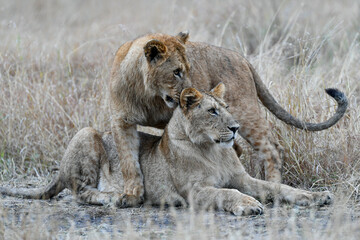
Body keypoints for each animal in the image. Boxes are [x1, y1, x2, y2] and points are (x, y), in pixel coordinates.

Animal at [0, 83, 334, 215]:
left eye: (227, 107)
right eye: (212, 111)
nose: (237, 128)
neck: (213, 150)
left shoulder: (244, 178)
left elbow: (279, 188)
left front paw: (317, 197)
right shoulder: (195, 192)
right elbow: (228, 193)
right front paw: (248, 205)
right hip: (88, 132)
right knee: (80, 192)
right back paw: (114, 197)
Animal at [108, 31, 348, 204]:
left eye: (189, 69)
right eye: (176, 71)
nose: (192, 91)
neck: (147, 94)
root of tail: (240, 56)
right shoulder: (122, 121)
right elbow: (128, 161)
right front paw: (132, 195)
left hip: (245, 112)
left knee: (272, 148)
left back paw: (271, 183)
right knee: (240, 148)